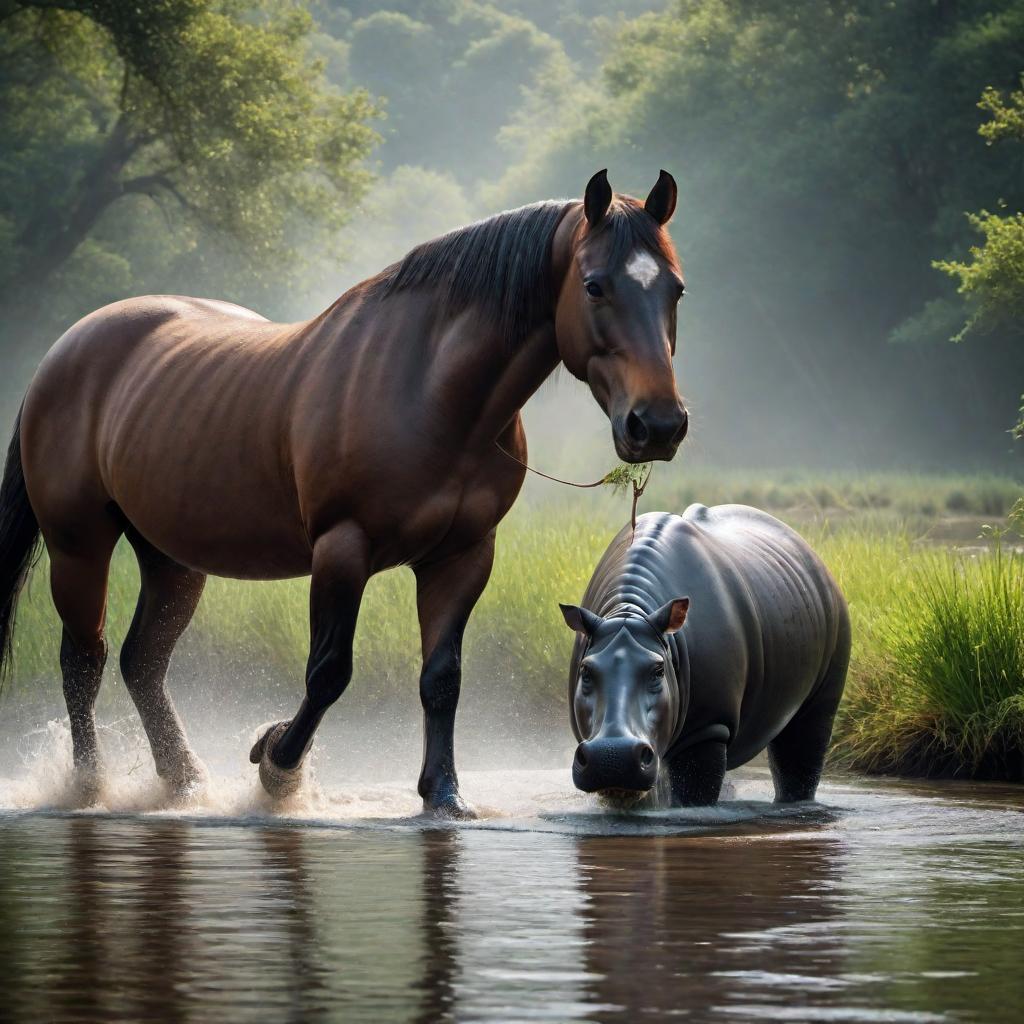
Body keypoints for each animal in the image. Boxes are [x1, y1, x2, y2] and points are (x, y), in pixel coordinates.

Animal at [2, 169, 688, 815]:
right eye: (595, 285)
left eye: (675, 289)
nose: (657, 424)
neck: (430, 391)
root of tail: (63, 353)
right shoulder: (342, 549)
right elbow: (329, 671)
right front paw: (276, 766)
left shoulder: (462, 557)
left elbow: (442, 677)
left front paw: (444, 794)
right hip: (79, 545)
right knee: (84, 661)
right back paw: (88, 785)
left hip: (171, 559)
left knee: (142, 663)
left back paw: (185, 783)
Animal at [561, 507, 847, 802]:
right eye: (585, 671)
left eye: (658, 671)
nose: (612, 756)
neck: (630, 610)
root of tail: (809, 550)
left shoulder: (707, 727)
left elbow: (694, 792)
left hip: (832, 616)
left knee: (808, 733)